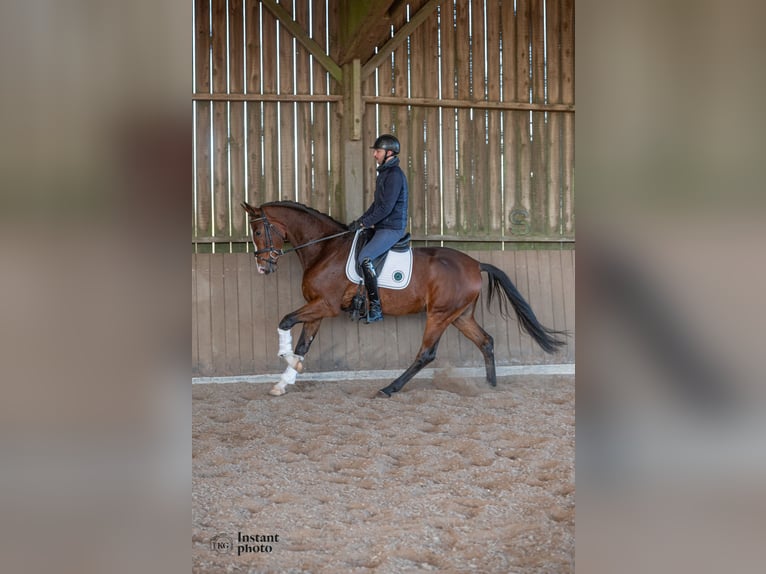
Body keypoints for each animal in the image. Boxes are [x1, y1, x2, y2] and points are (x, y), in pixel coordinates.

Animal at [242, 200, 567, 397]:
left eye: (258, 231)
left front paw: (289, 367)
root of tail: (476, 264)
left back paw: (389, 388)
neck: (325, 249)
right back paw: (490, 385)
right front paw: (284, 381)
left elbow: (285, 321)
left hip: (439, 315)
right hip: (460, 315)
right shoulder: (317, 308)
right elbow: (303, 345)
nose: (262, 267)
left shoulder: (326, 306)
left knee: (426, 354)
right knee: (486, 341)